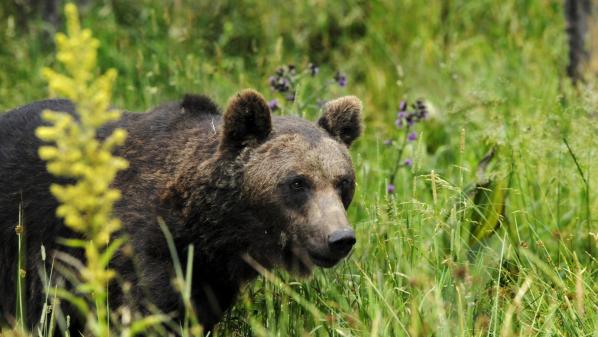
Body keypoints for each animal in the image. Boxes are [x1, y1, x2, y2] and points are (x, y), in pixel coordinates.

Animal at [0, 90, 364, 334]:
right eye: (298, 182)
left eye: (342, 182)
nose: (339, 238)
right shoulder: (142, 245)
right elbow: (151, 308)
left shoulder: (210, 273)